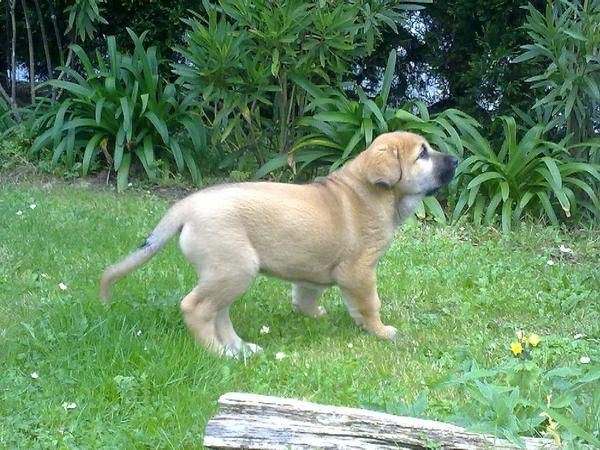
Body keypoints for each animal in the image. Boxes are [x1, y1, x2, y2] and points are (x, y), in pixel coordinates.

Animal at [99, 132, 454, 356]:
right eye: (423, 154)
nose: (456, 158)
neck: (370, 192)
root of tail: (184, 207)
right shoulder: (360, 271)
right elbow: (369, 305)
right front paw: (380, 331)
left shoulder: (313, 269)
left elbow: (306, 294)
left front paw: (313, 314)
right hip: (234, 269)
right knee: (196, 308)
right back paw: (217, 353)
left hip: (226, 273)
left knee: (218, 313)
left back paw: (239, 348)